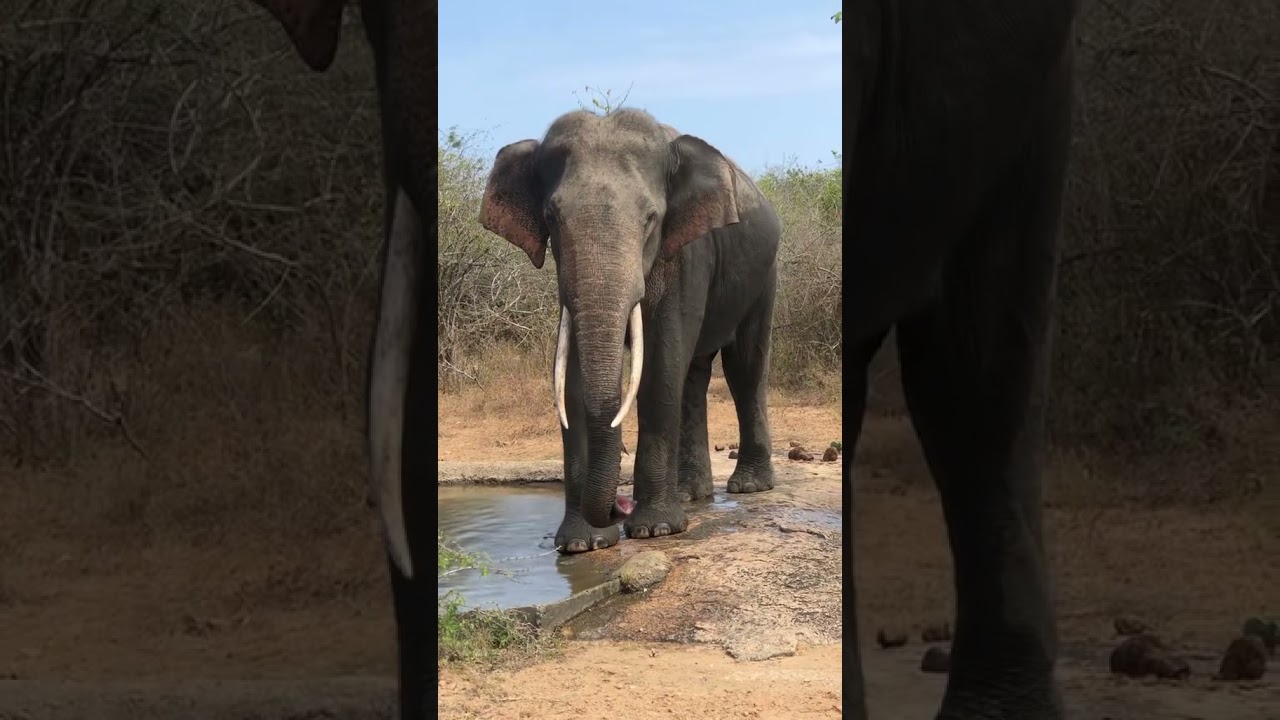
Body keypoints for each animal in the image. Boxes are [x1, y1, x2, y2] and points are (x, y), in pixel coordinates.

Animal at [478, 109, 782, 552]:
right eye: (551, 218)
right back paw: (691, 494)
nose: (618, 507)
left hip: (765, 273)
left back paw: (749, 487)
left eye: (651, 219)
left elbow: (661, 363)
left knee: (744, 368)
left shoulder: (685, 251)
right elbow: (573, 381)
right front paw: (582, 544)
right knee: (693, 377)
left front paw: (655, 530)